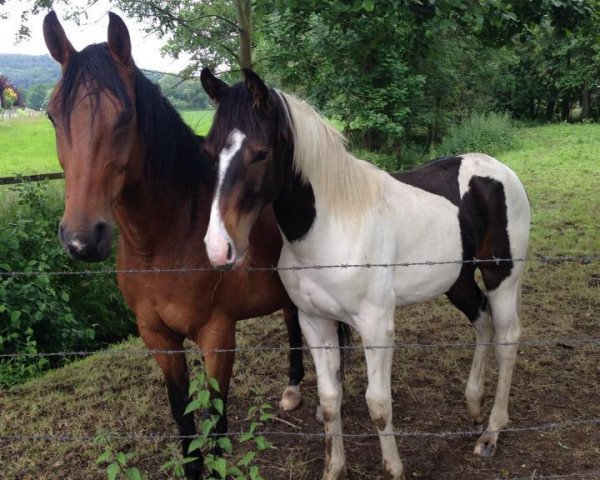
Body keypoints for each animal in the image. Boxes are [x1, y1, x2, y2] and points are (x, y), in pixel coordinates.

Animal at [42, 13, 308, 478]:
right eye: (53, 116)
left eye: (126, 115)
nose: (81, 239)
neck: (162, 247)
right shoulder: (158, 338)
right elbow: (183, 418)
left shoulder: (218, 335)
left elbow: (217, 420)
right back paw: (293, 388)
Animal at [200, 68, 528, 480]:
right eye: (209, 152)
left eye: (260, 153)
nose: (218, 248)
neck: (331, 227)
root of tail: (501, 171)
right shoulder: (314, 322)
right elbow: (329, 400)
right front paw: (334, 468)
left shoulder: (376, 327)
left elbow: (378, 403)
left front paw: (394, 467)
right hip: (458, 280)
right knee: (482, 322)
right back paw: (473, 408)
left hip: (503, 276)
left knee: (507, 340)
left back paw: (491, 435)